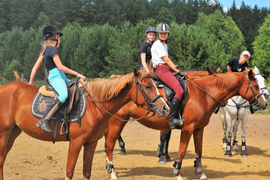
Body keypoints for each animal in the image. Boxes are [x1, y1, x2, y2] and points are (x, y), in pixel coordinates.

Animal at [0, 69, 169, 180]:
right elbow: (69, 171)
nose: (165, 107)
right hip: (4, 134)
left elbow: (86, 172)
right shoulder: (76, 142)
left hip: (13, 132)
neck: (94, 107)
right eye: (148, 86)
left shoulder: (90, 143)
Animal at [104, 69, 266, 180]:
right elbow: (181, 151)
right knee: (110, 145)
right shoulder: (188, 128)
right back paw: (113, 172)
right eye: (255, 86)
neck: (203, 93)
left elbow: (199, 150)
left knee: (108, 143)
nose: (264, 103)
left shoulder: (199, 128)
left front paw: (201, 173)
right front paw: (177, 173)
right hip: (116, 122)